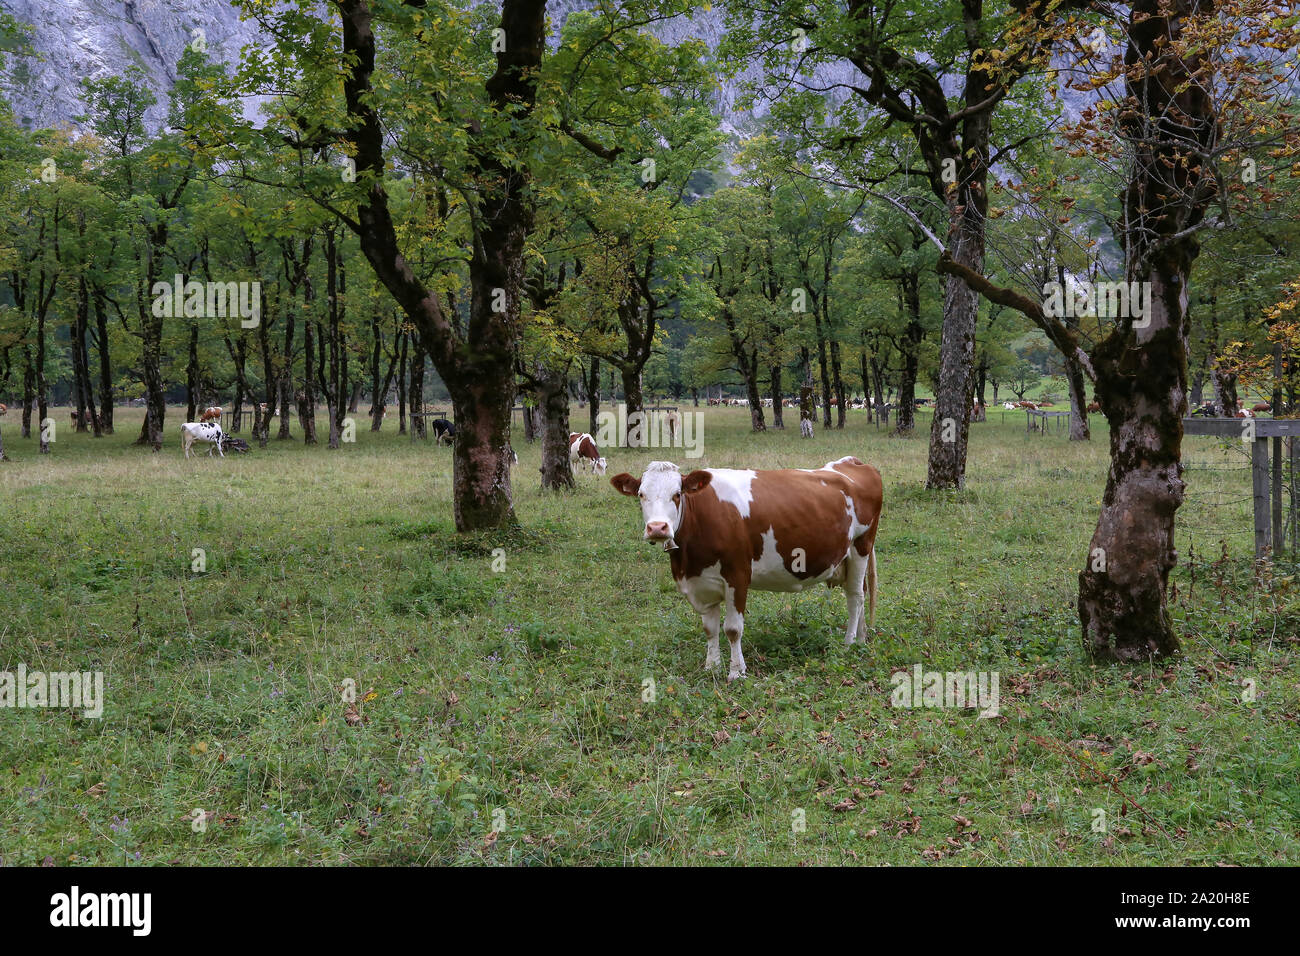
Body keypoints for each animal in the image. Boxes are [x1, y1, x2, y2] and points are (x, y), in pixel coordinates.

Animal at [610, 457, 883, 681]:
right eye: (641, 495)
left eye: (677, 494)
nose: (657, 528)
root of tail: (852, 462)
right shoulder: (701, 582)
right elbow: (709, 629)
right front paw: (712, 667)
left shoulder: (738, 576)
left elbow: (732, 629)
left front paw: (736, 672)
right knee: (862, 592)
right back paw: (861, 639)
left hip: (861, 545)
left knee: (855, 597)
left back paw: (848, 643)